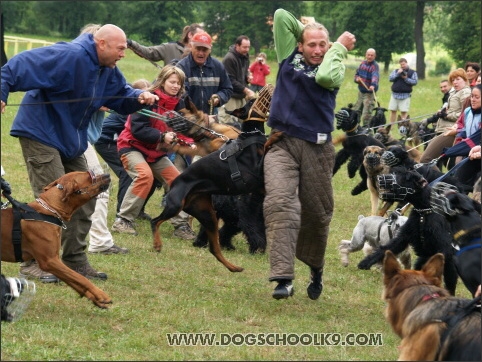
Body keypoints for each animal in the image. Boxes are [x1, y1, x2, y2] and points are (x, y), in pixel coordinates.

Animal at [1, 172, 112, 308]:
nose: (108, 174)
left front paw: (95, 298)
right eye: (90, 176)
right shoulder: (50, 261)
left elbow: (74, 280)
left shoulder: (55, 261)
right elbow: (81, 278)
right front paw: (101, 294)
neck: (50, 209)